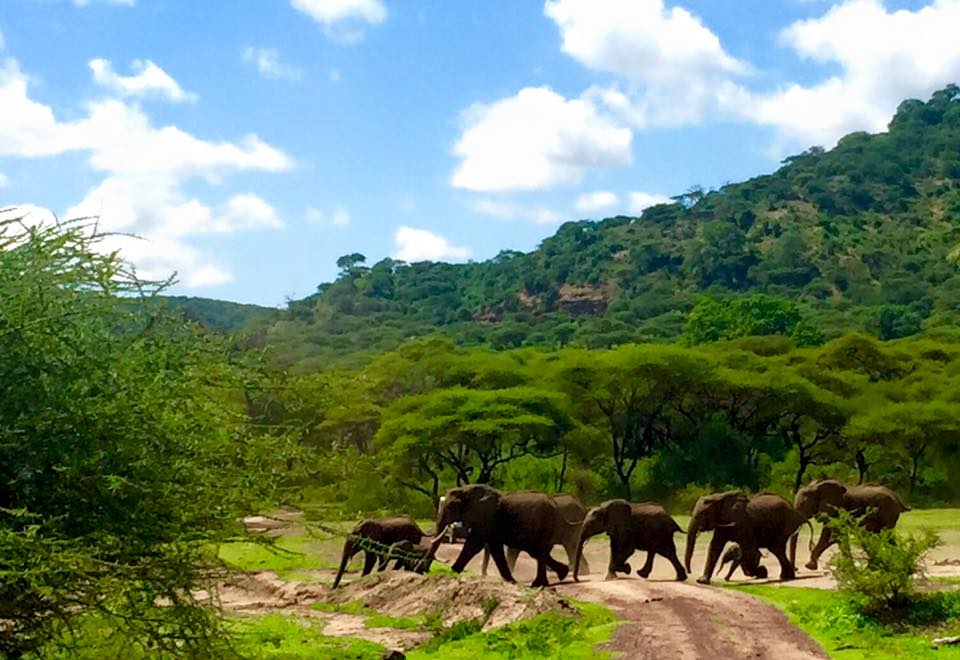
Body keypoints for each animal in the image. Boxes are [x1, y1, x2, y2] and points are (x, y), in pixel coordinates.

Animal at [432, 482, 572, 584]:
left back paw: (538, 584)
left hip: (544, 523)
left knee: (539, 551)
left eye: (452, 506)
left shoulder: (487, 516)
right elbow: (493, 548)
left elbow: (474, 544)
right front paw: (511, 581)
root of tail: (555, 504)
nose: (427, 571)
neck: (466, 489)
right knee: (536, 551)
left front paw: (452, 571)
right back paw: (562, 574)